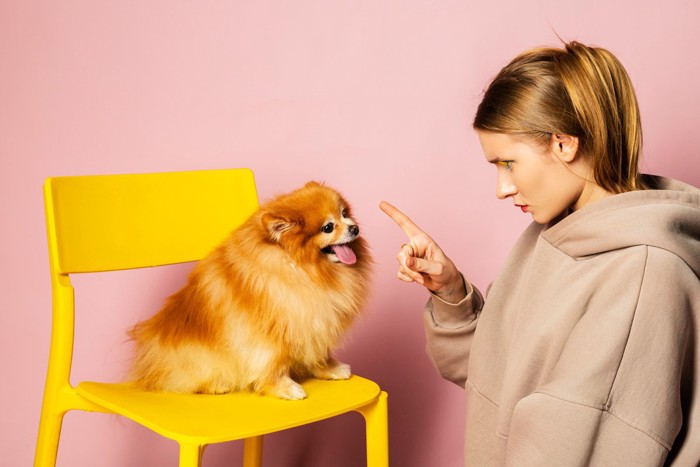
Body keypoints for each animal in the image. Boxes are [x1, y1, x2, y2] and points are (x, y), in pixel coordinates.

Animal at [129, 181, 374, 400]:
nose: (354, 227)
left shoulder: (314, 320)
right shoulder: (269, 331)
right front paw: (284, 388)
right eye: (328, 227)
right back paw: (216, 385)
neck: (300, 268)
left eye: (344, 213)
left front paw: (329, 368)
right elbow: (271, 363)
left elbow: (317, 350)